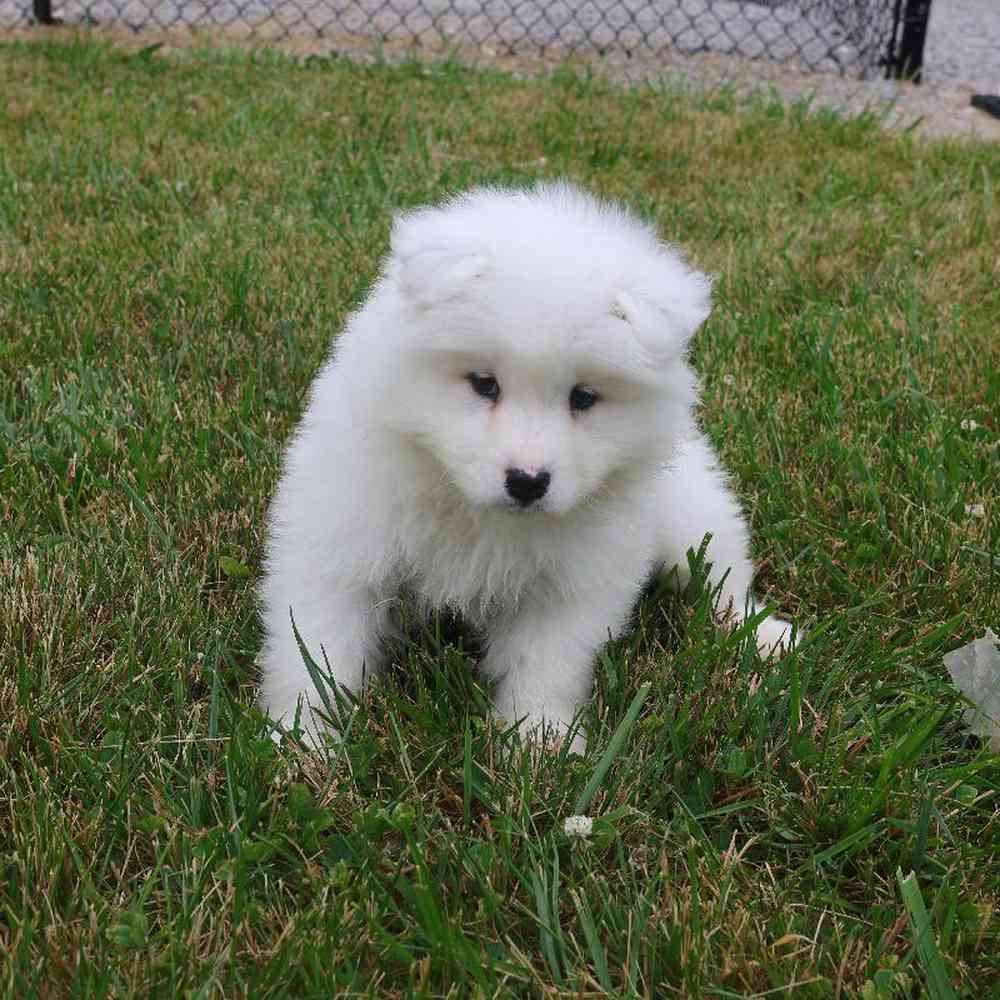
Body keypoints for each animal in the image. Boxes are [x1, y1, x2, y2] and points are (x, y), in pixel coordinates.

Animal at [260, 182, 796, 752]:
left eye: (583, 397)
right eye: (483, 383)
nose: (527, 482)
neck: (470, 509)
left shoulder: (571, 582)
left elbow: (547, 664)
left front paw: (542, 744)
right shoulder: (343, 542)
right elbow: (317, 649)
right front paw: (303, 742)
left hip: (691, 514)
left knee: (723, 577)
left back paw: (765, 636)